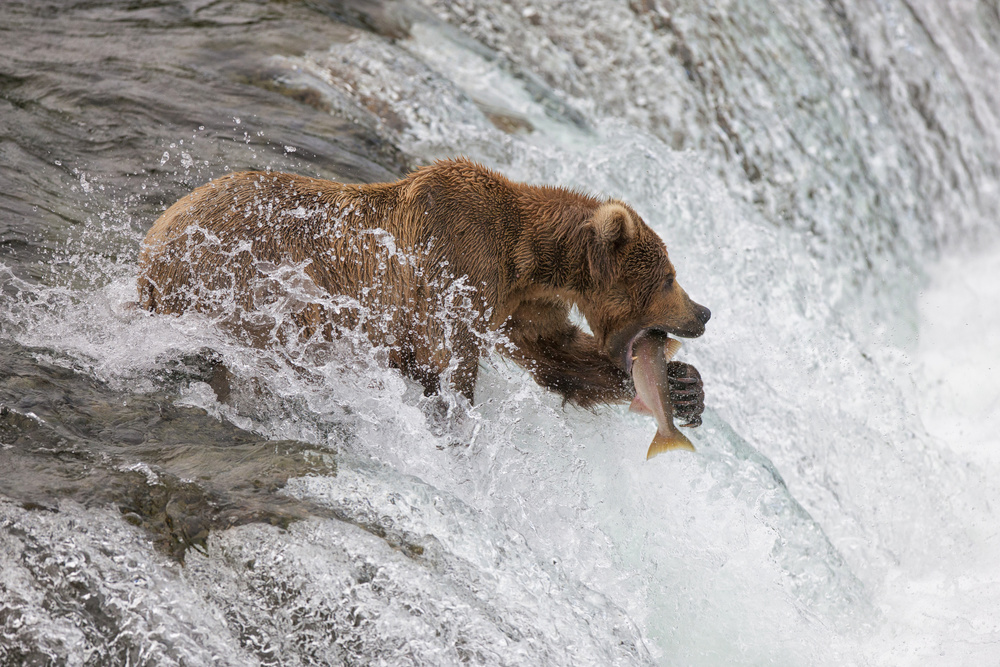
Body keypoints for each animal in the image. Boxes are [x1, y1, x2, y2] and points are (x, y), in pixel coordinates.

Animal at [137, 158, 710, 421]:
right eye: (668, 277)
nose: (703, 312)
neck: (526, 258)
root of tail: (150, 245)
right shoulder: (456, 265)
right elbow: (448, 357)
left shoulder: (518, 305)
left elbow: (554, 353)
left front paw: (685, 386)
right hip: (242, 279)